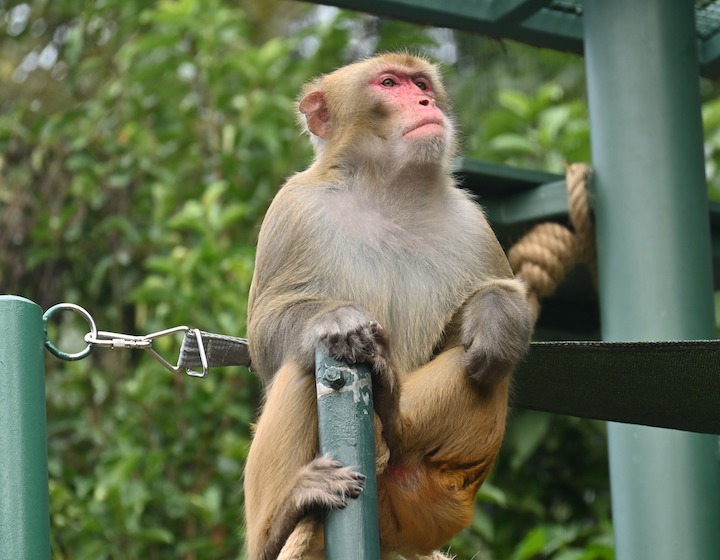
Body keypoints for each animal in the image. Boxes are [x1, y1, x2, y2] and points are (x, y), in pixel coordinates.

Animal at [245, 53, 532, 560]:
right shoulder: (292, 208)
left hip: (441, 499)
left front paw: (494, 311)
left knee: (486, 362)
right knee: (302, 362)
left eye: (422, 84)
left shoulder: (472, 222)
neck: (390, 192)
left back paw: (394, 410)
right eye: (388, 84)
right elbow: (264, 333)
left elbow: (479, 321)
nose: (425, 103)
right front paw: (335, 317)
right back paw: (279, 522)